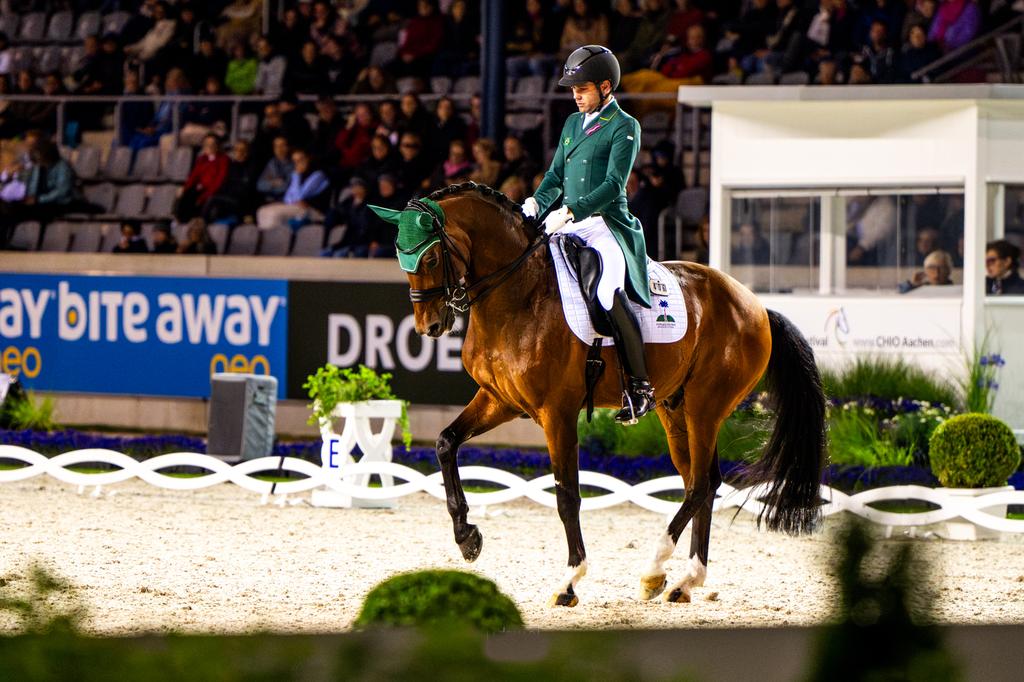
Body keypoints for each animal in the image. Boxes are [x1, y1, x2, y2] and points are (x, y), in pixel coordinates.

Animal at [380, 182, 827, 606]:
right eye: (401, 259)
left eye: (431, 259)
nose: (429, 326)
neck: (519, 296)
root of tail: (755, 305)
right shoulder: (499, 400)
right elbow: (445, 443)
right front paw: (467, 537)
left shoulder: (557, 412)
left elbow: (567, 495)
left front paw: (569, 582)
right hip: (676, 408)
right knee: (702, 483)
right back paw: (685, 582)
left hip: (706, 406)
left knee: (700, 485)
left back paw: (654, 570)